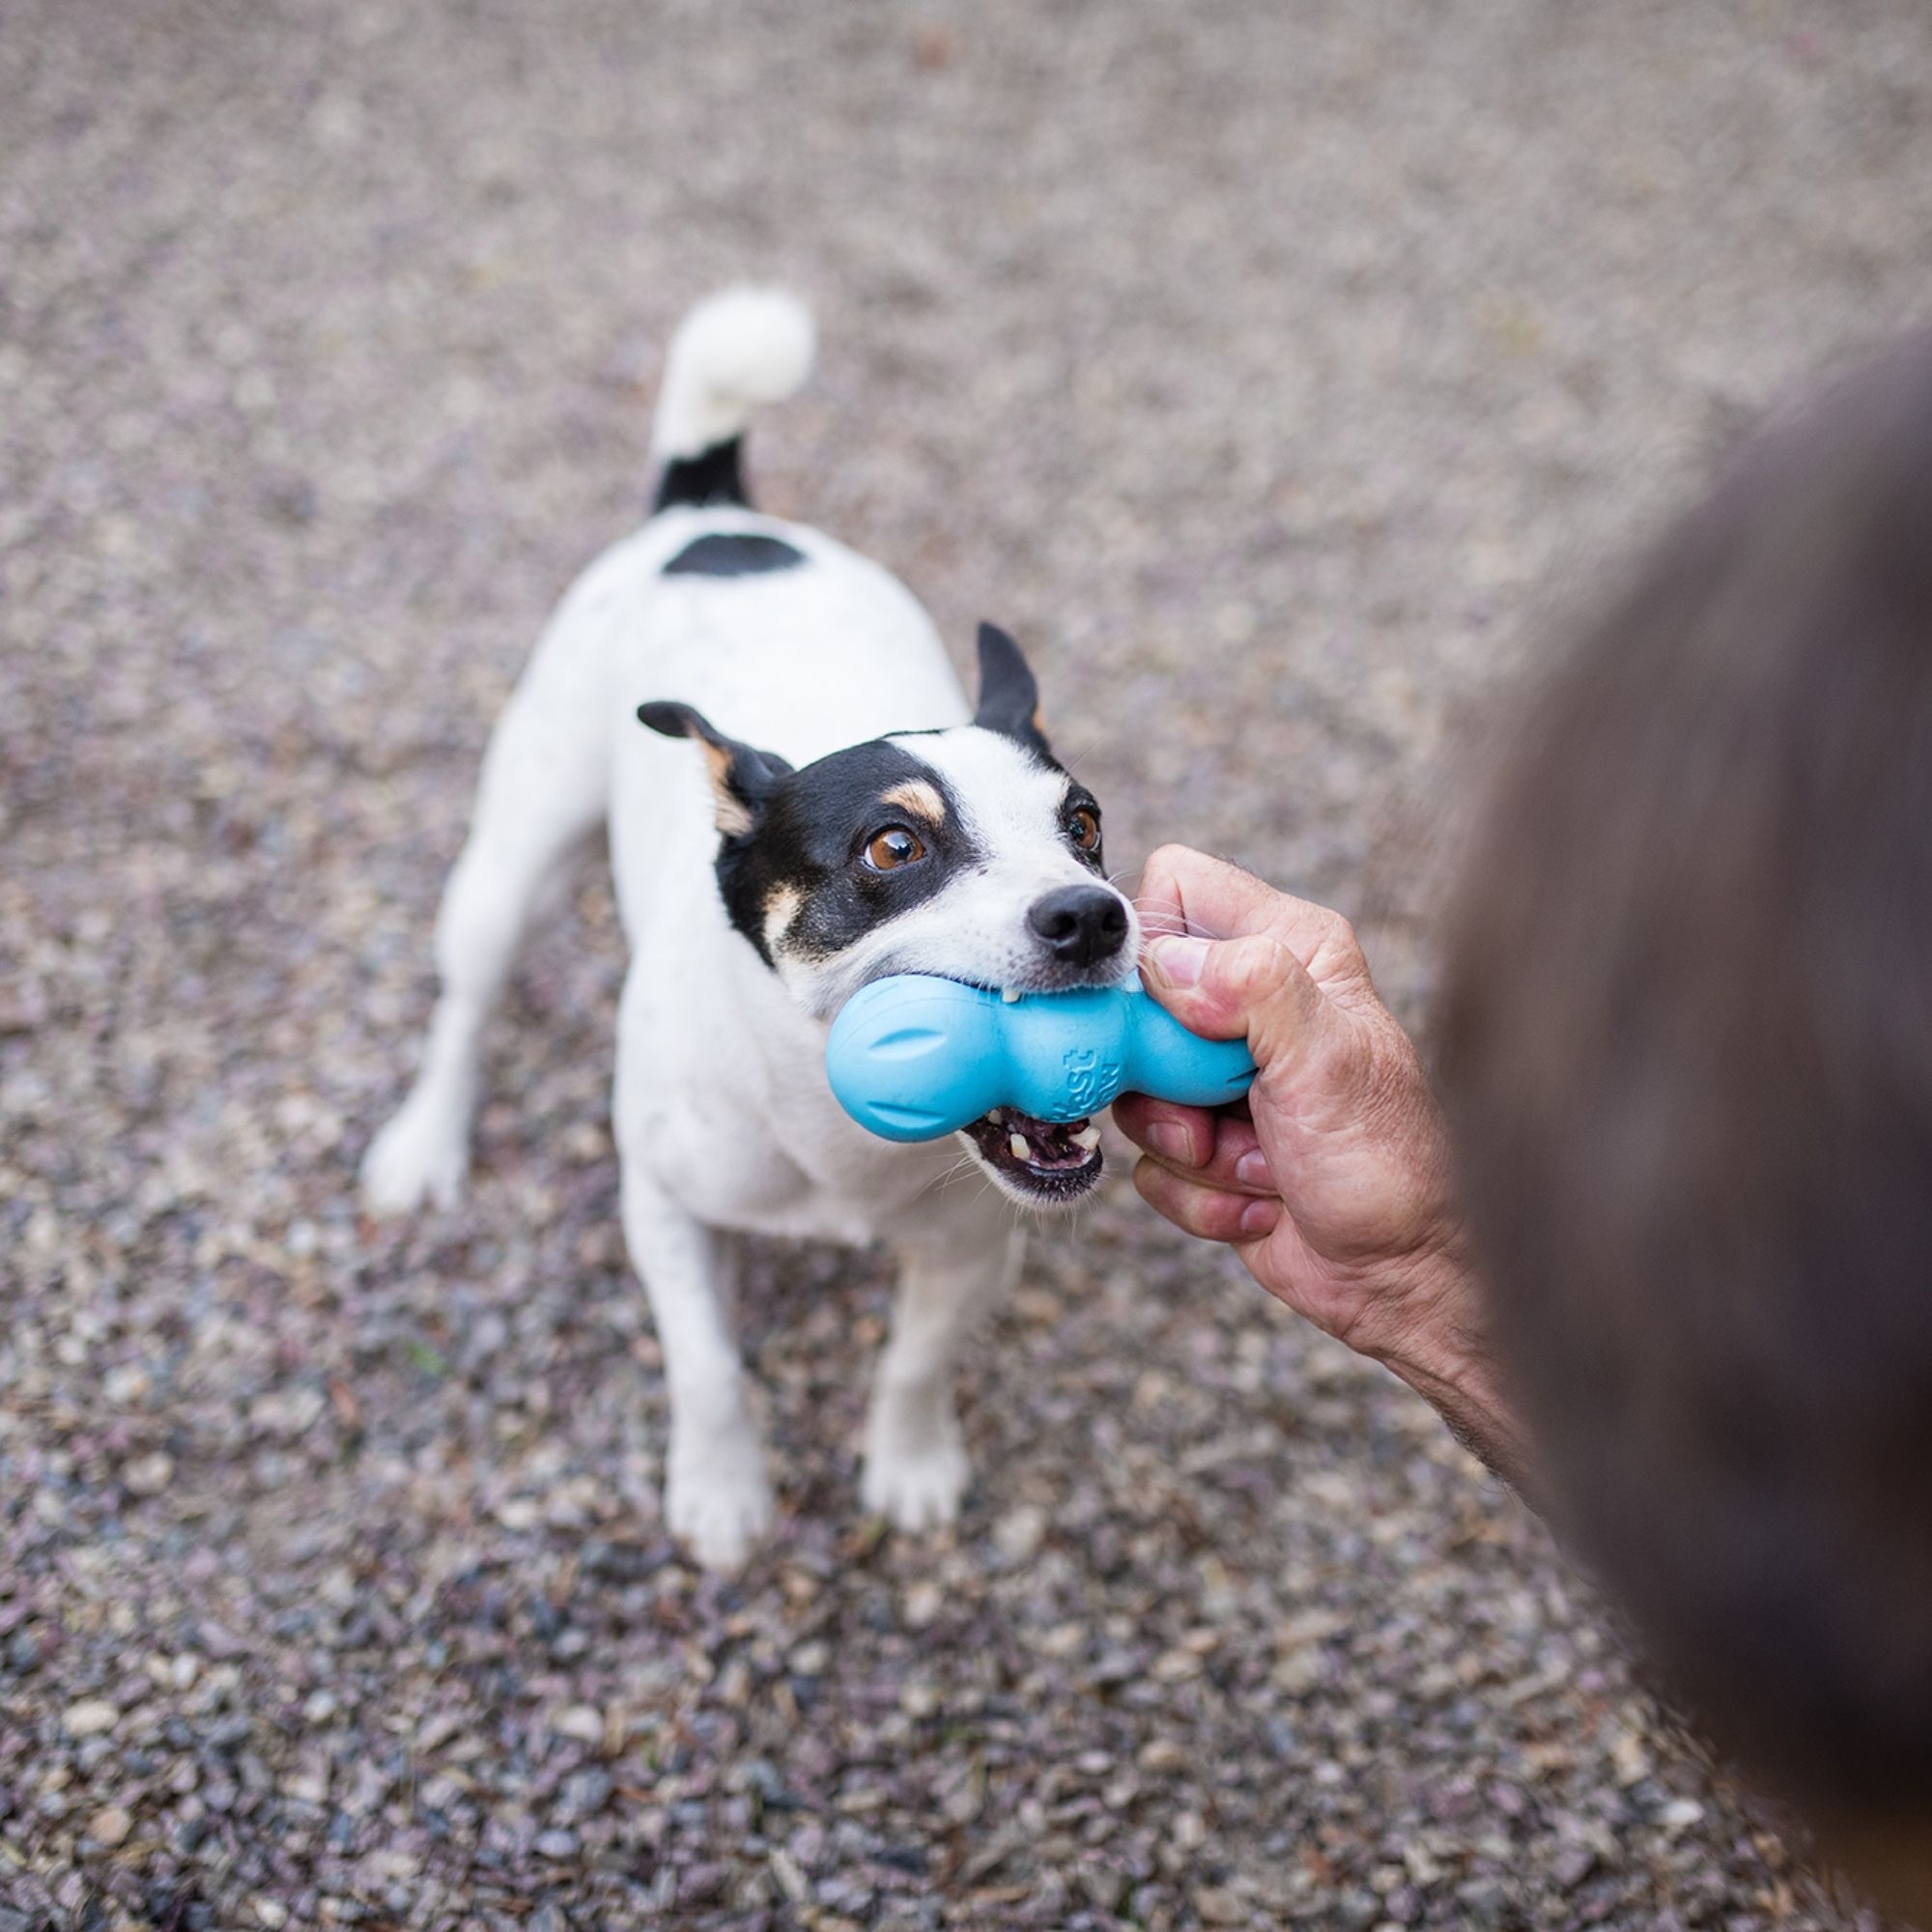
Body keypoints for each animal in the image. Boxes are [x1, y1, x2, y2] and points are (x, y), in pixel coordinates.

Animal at [363, 294, 1136, 1577]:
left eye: (1083, 827)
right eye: (892, 847)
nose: (1093, 913)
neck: (830, 1128)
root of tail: (710, 513)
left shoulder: (971, 1245)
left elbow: (914, 1359)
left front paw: (908, 1466)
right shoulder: (664, 1209)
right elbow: (708, 1368)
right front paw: (721, 1493)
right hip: (509, 866)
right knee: (467, 1004)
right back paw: (425, 1143)